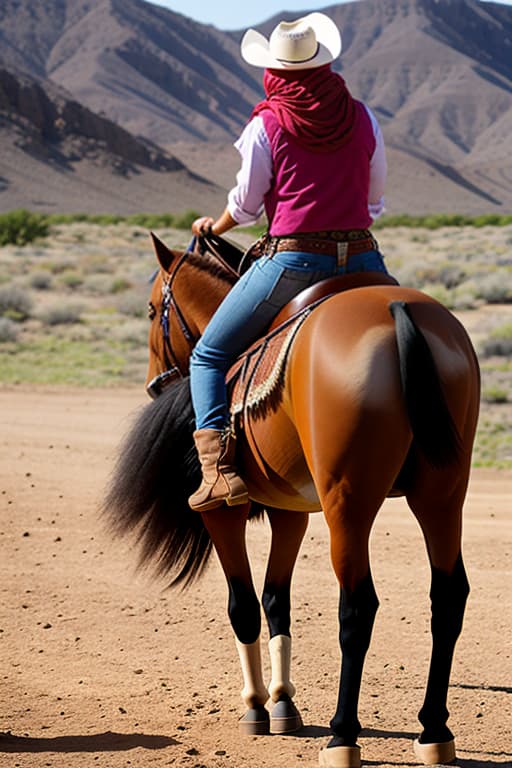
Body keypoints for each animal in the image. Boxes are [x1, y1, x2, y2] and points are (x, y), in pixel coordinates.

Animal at [104, 234, 480, 768]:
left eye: (155, 309)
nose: (156, 384)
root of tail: (399, 313)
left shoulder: (222, 511)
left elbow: (243, 604)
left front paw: (256, 707)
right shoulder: (290, 514)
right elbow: (276, 600)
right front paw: (283, 704)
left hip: (350, 502)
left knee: (357, 608)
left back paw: (343, 736)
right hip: (442, 494)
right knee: (447, 597)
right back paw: (434, 730)